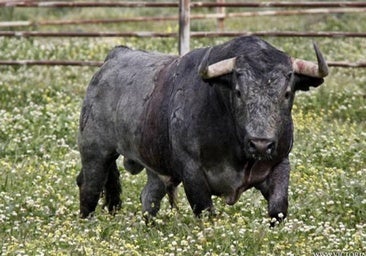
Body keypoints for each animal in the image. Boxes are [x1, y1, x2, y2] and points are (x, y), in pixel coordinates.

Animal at [77, 36, 328, 224]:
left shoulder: (279, 163)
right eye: (238, 92)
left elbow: (278, 208)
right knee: (88, 188)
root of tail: (115, 56)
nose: (260, 144)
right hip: (96, 154)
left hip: (155, 168)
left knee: (149, 197)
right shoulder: (192, 171)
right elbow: (204, 210)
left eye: (287, 93)